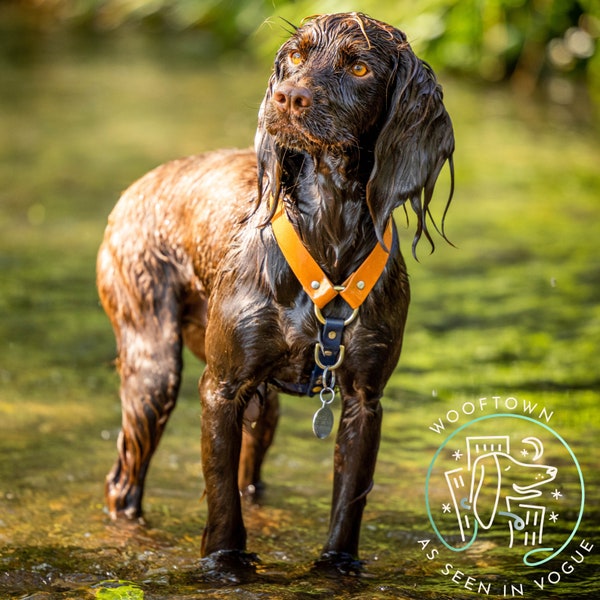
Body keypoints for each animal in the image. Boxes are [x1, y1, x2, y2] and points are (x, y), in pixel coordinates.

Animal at [97, 10, 454, 572]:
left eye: (358, 66)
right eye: (297, 56)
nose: (287, 97)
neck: (328, 231)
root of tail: (136, 187)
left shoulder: (364, 399)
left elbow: (347, 506)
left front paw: (337, 569)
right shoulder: (221, 388)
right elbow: (222, 504)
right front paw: (225, 567)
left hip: (262, 406)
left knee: (249, 478)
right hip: (154, 370)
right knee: (123, 483)